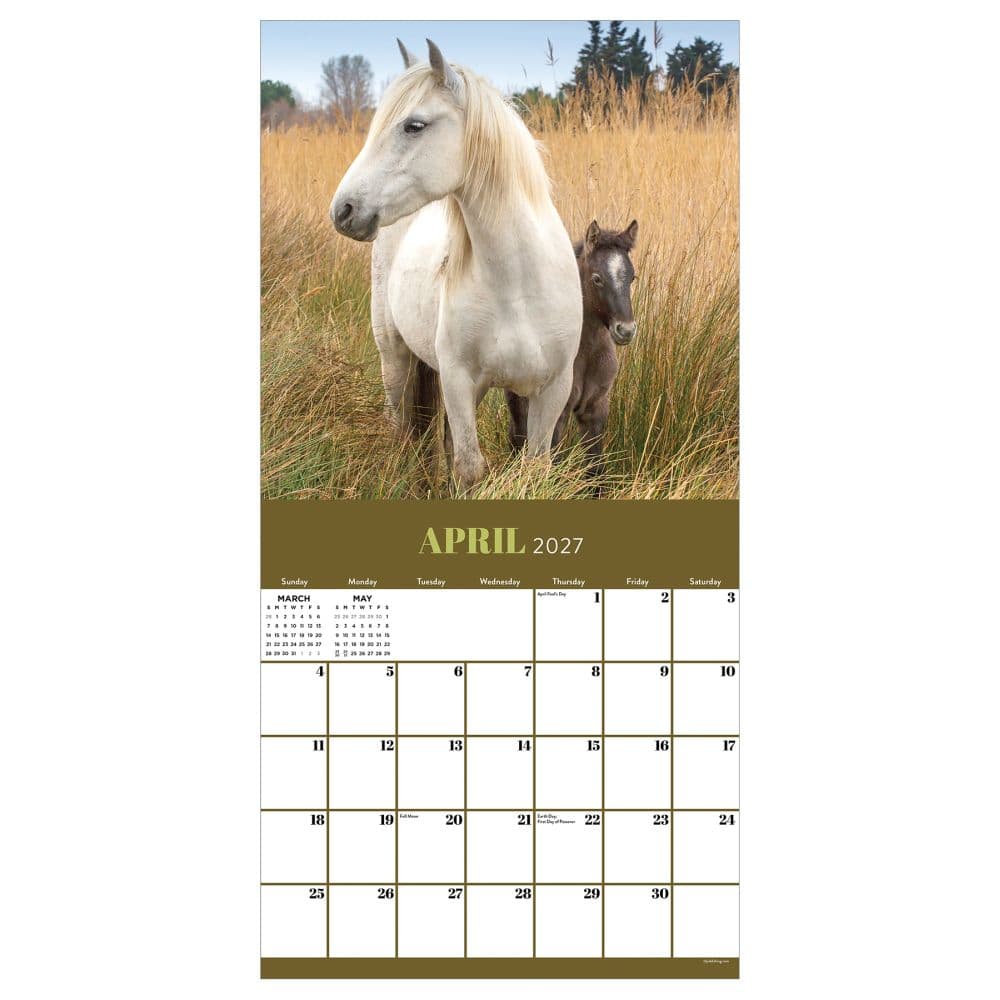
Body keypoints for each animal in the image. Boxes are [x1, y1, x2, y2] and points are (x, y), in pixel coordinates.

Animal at [329, 39, 582, 489]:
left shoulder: (552, 388)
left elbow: (533, 466)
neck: (518, 286)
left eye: (414, 125)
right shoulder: (459, 381)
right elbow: (469, 468)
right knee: (400, 426)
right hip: (394, 356)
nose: (343, 210)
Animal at [506, 219, 638, 477]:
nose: (626, 330)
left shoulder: (595, 409)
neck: (587, 353)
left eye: (632, 278)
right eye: (597, 278)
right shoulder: (559, 412)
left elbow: (596, 469)